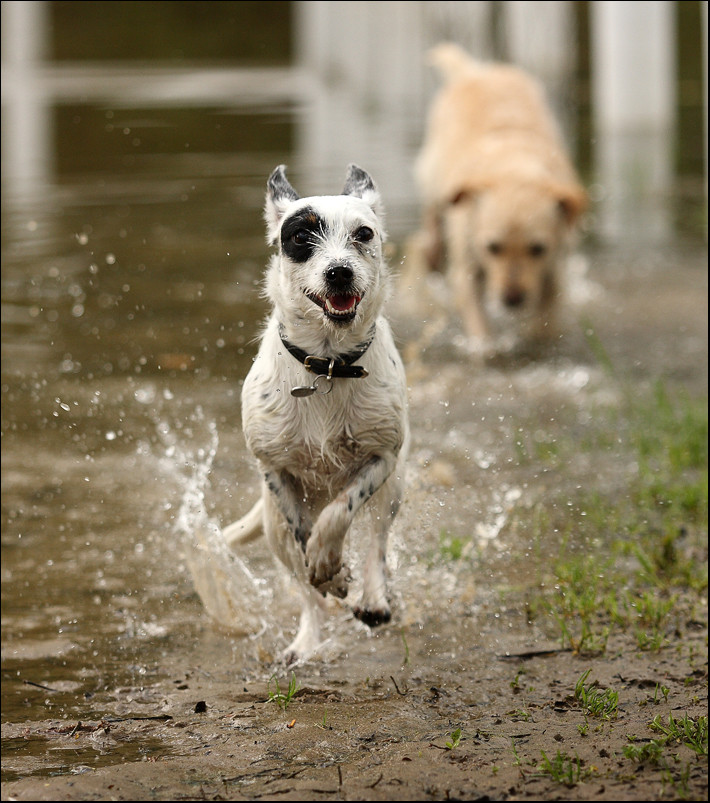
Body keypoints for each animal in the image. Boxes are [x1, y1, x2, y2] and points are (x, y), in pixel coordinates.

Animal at [222, 165, 412, 664]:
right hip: (272, 527)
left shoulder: (382, 457)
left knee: (377, 542)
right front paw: (330, 572)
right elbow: (306, 537)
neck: (327, 365)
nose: (339, 271)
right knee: (303, 585)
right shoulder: (274, 469)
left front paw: (334, 563)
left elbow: (338, 515)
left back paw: (373, 599)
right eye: (301, 235)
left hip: (393, 490)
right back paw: (306, 642)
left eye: (363, 233)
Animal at [414, 44, 588, 346]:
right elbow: (478, 323)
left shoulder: (555, 266)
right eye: (492, 247)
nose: (512, 299)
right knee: (433, 212)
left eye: (537, 248)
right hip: (433, 178)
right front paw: (485, 346)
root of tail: (477, 71)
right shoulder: (467, 267)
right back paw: (433, 250)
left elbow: (546, 318)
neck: (513, 168)